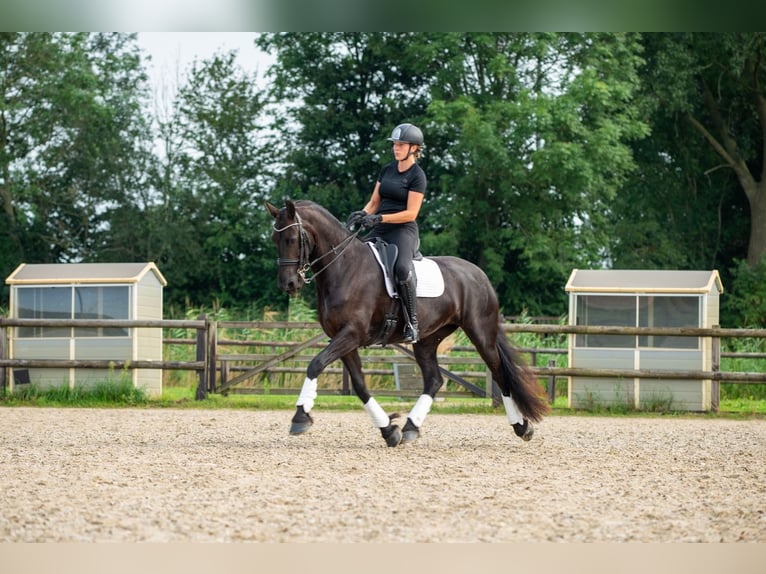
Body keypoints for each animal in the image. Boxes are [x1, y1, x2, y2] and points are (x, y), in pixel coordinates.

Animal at [268, 200, 548, 448]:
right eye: (274, 240)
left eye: (291, 239)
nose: (288, 284)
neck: (344, 267)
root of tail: (478, 274)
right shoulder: (342, 338)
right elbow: (359, 384)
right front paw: (389, 430)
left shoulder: (351, 334)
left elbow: (315, 364)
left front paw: (300, 416)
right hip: (428, 339)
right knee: (434, 380)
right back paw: (411, 427)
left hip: (480, 333)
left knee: (500, 374)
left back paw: (522, 426)